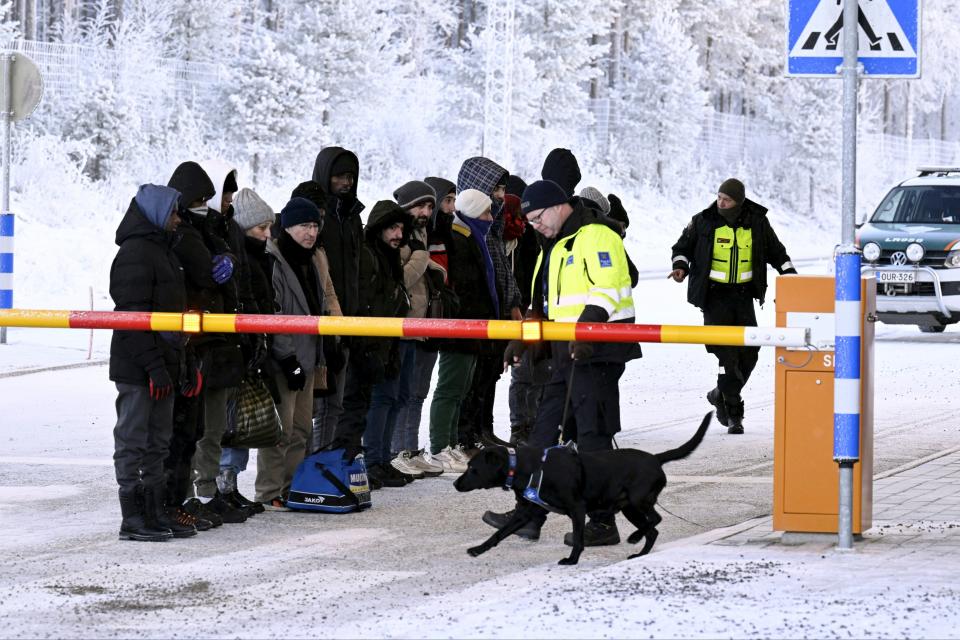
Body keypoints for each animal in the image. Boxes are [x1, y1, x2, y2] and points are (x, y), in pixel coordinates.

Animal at [452, 412, 712, 564]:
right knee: (653, 528)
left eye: (473, 469)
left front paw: (572, 560)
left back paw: (635, 540)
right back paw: (639, 551)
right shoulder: (527, 511)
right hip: (630, 507)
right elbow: (500, 532)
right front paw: (478, 549)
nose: (455, 483)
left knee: (655, 522)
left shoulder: (577, 508)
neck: (526, 466)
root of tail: (656, 459)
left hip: (637, 501)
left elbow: (578, 538)